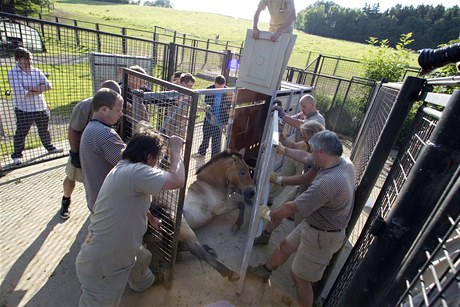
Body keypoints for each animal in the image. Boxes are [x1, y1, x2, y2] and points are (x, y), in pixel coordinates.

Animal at [149, 150, 255, 282]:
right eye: (242, 172)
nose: (252, 192)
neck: (210, 183)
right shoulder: (220, 208)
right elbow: (241, 205)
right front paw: (237, 225)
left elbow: (241, 204)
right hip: (183, 226)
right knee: (195, 249)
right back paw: (229, 272)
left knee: (177, 246)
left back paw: (208, 249)